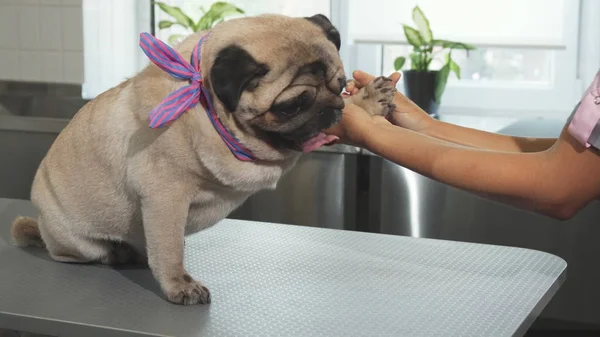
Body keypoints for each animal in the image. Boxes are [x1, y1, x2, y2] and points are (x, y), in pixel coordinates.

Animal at [11, 13, 396, 304]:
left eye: (340, 85)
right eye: (291, 105)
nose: (330, 108)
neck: (209, 110)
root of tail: (42, 222)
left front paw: (366, 102)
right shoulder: (164, 197)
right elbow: (168, 249)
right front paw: (179, 284)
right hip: (74, 240)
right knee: (78, 252)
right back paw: (114, 252)